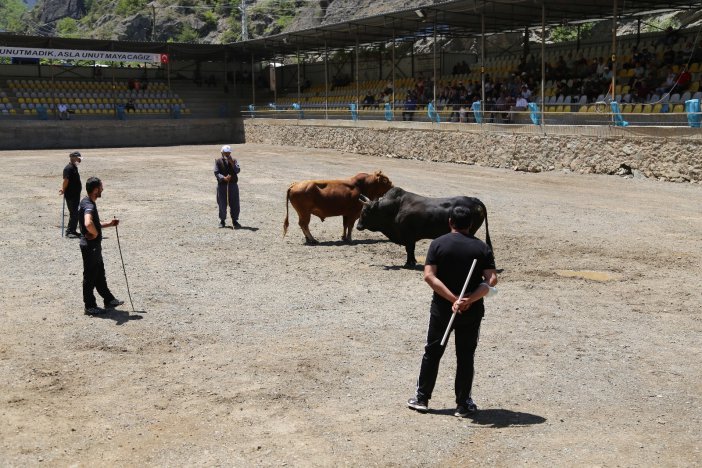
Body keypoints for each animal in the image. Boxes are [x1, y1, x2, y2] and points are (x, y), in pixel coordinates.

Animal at [354, 186, 492, 266]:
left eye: (365, 211)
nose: (358, 226)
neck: (394, 208)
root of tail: (474, 200)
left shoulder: (408, 236)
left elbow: (409, 249)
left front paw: (409, 263)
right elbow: (411, 250)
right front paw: (412, 261)